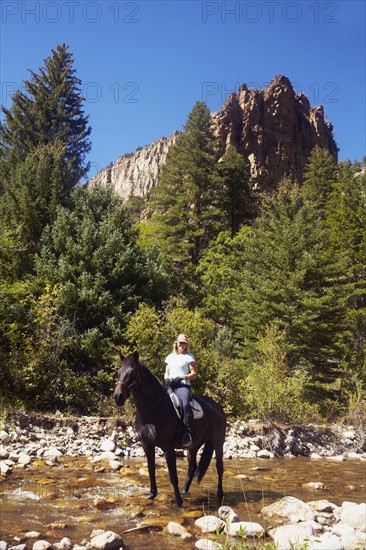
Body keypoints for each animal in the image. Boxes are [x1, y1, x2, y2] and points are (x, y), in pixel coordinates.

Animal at [113, 354, 226, 508]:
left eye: (132, 373)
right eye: (119, 372)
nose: (117, 397)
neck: (152, 409)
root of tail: (218, 407)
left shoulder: (167, 447)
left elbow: (173, 476)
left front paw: (178, 501)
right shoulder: (147, 446)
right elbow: (151, 470)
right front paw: (152, 495)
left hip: (218, 441)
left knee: (219, 466)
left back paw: (220, 494)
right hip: (193, 446)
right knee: (192, 467)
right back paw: (185, 491)